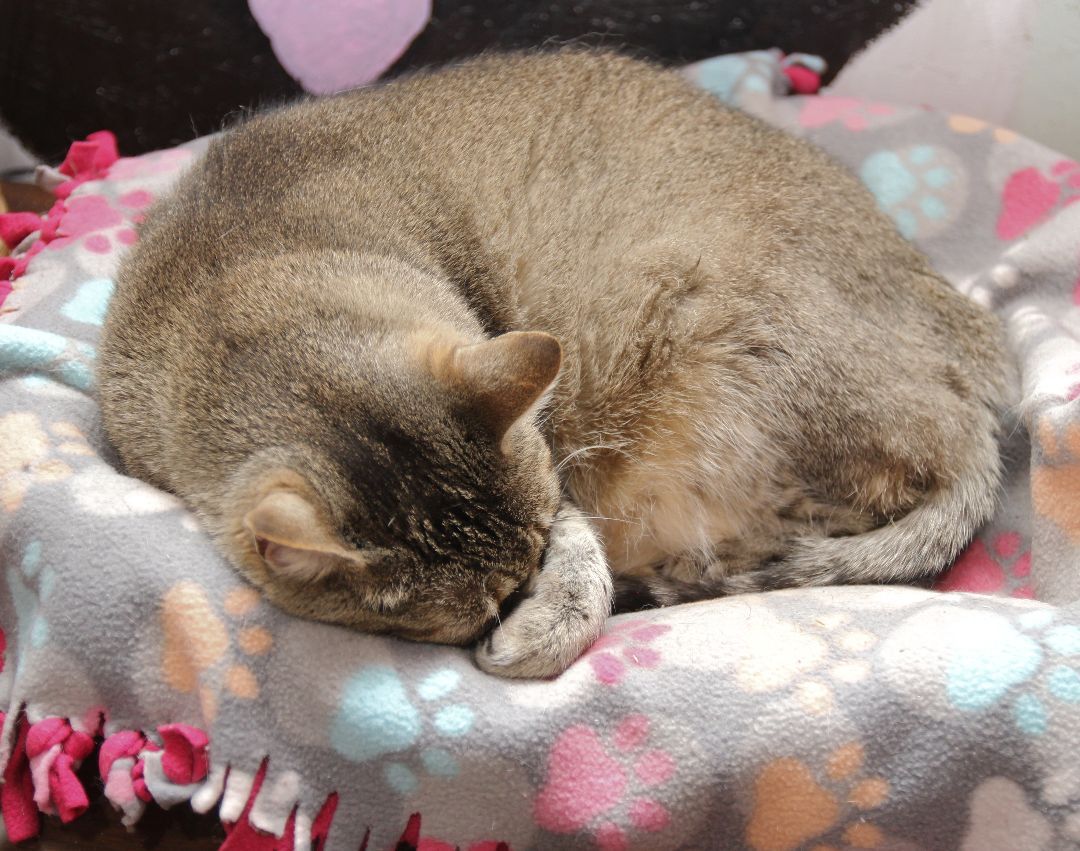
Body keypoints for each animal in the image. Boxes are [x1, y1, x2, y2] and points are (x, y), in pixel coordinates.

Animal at [95, 51, 1010, 678]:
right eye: (472, 610)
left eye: (514, 579)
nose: (514, 597)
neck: (235, 273)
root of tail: (977, 414)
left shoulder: (553, 472)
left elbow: (580, 555)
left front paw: (551, 622)